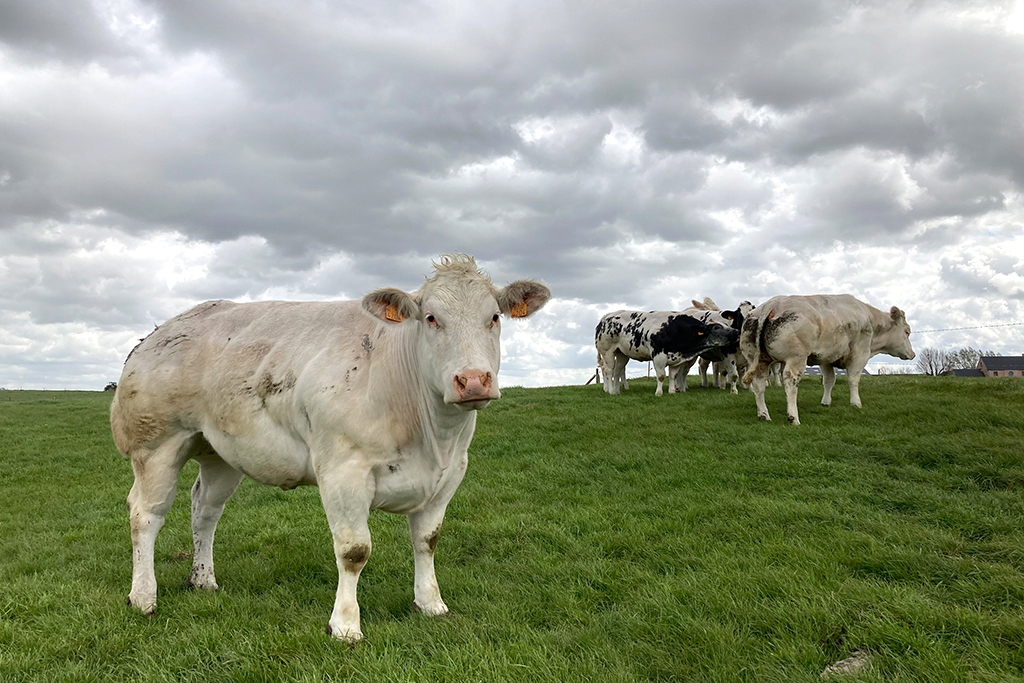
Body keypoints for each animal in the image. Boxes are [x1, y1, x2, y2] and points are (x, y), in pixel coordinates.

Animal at [110, 254, 552, 643]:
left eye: (493, 317)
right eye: (431, 318)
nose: (473, 380)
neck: (430, 435)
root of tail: (156, 333)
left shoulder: (449, 474)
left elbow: (428, 541)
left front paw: (430, 604)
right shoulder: (343, 472)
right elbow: (354, 550)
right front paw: (345, 625)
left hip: (220, 451)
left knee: (205, 509)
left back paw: (203, 579)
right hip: (157, 443)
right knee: (145, 514)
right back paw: (143, 596)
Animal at [598, 309, 741, 395]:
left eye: (726, 324)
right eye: (717, 327)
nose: (736, 331)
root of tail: (605, 318)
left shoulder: (677, 358)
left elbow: (673, 375)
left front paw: (672, 391)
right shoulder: (658, 356)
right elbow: (661, 376)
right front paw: (659, 393)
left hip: (622, 354)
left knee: (617, 371)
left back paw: (616, 391)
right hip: (607, 352)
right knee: (609, 370)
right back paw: (610, 390)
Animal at [741, 294, 917, 423]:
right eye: (907, 331)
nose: (913, 354)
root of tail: (772, 304)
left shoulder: (826, 358)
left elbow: (829, 380)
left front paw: (826, 402)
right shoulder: (859, 353)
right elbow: (853, 379)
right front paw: (856, 403)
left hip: (759, 360)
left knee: (758, 384)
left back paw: (764, 415)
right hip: (796, 358)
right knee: (790, 382)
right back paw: (793, 418)